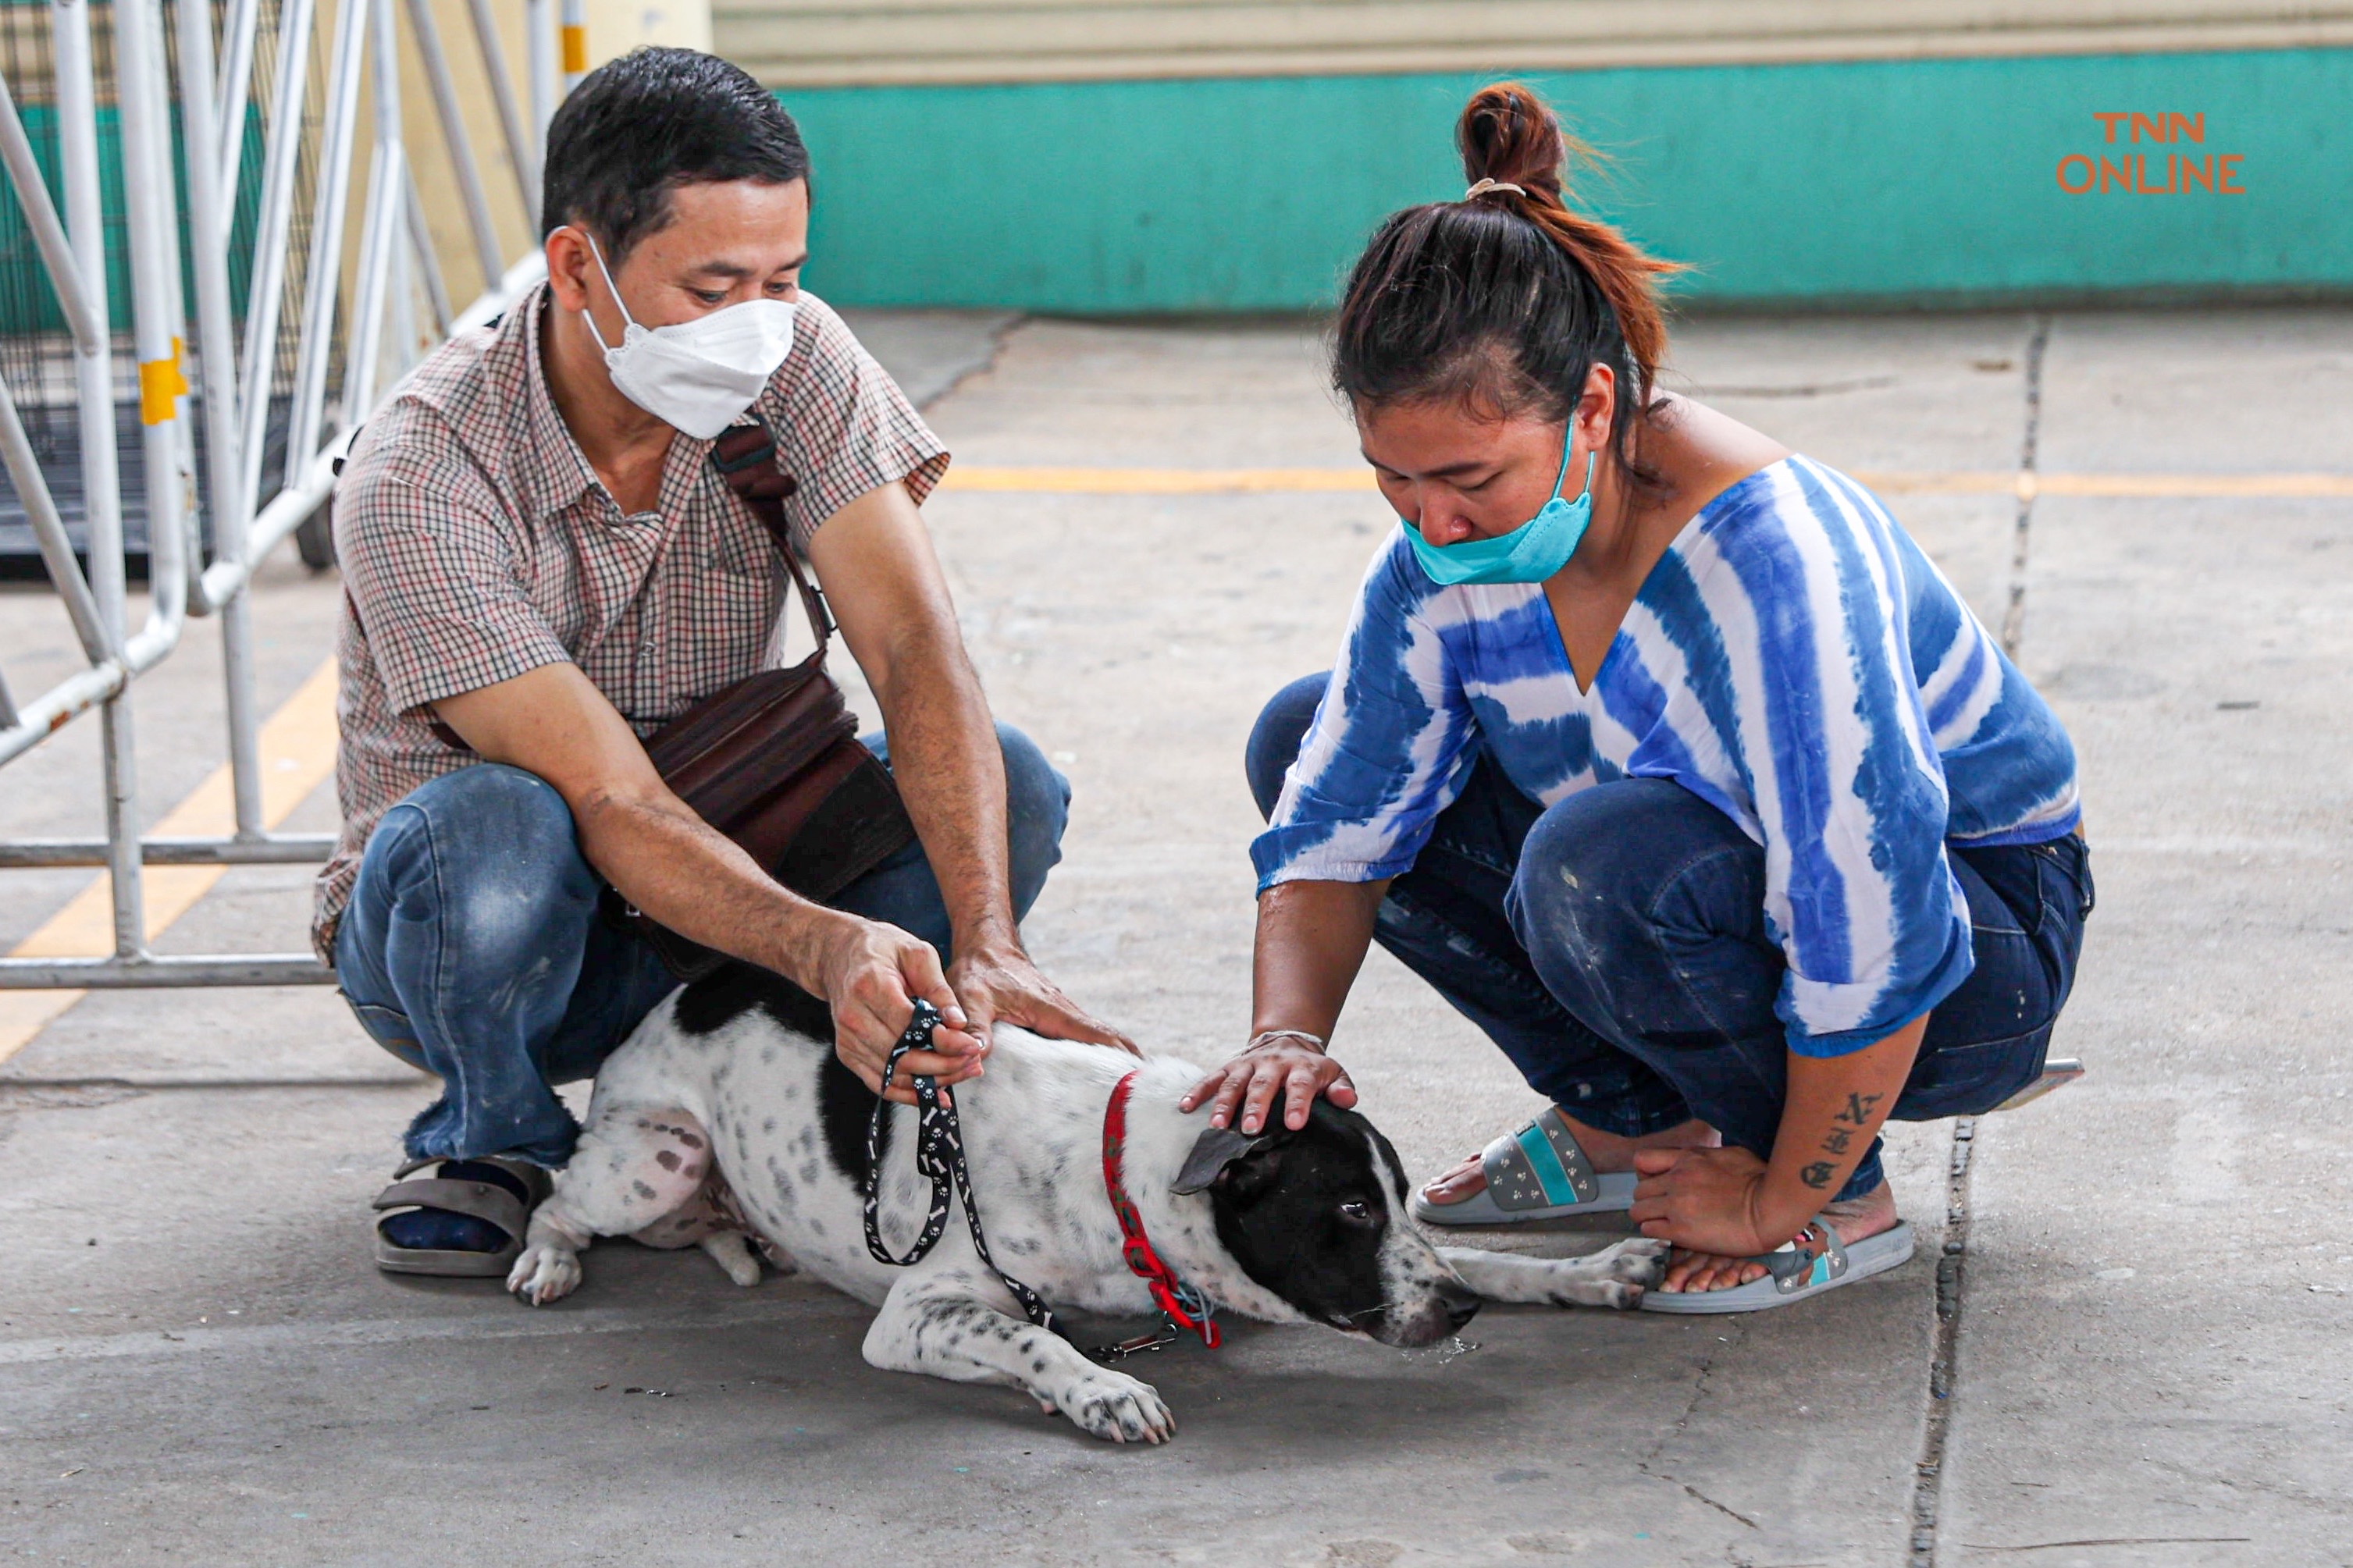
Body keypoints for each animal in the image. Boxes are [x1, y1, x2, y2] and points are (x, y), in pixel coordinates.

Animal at [506, 968, 1665, 1448]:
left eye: (1390, 1196)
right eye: (1344, 1209)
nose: (1455, 1316)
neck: (1122, 1170)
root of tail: (671, 997)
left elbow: (1494, 1259)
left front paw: (1588, 1270)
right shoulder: (915, 1315)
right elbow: (1032, 1338)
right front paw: (1103, 1389)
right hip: (651, 1157)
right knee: (560, 1193)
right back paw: (545, 1259)